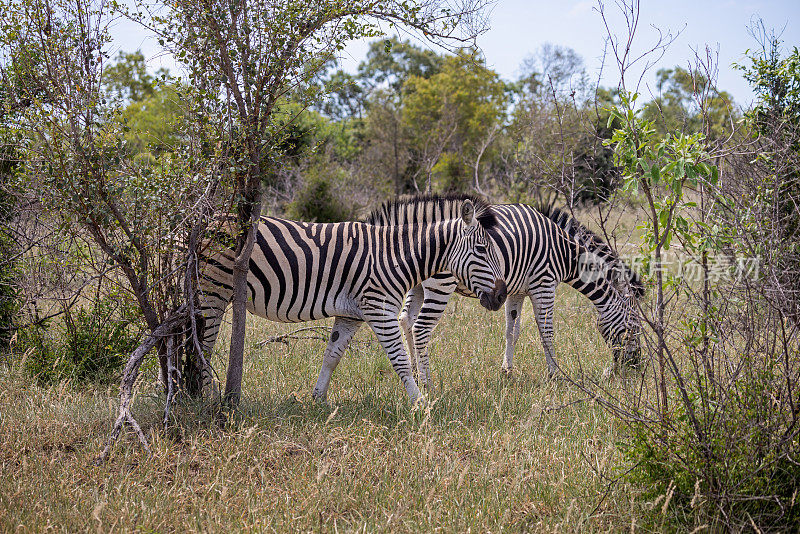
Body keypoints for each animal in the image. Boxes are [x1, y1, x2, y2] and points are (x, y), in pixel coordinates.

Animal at [195, 199, 506, 404]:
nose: (502, 296)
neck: (391, 256)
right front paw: (420, 404)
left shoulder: (351, 314)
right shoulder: (379, 309)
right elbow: (400, 360)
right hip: (214, 290)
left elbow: (332, 356)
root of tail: (207, 217)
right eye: (482, 249)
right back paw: (207, 397)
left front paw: (318, 399)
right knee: (204, 345)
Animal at [366, 195, 648, 388]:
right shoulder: (544, 284)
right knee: (420, 327)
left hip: (416, 282)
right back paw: (425, 382)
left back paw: (414, 371)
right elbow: (547, 332)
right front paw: (555, 375)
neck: (563, 251)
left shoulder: (516, 291)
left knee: (406, 320)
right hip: (440, 284)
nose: (636, 367)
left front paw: (507, 371)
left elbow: (512, 331)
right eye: (634, 327)